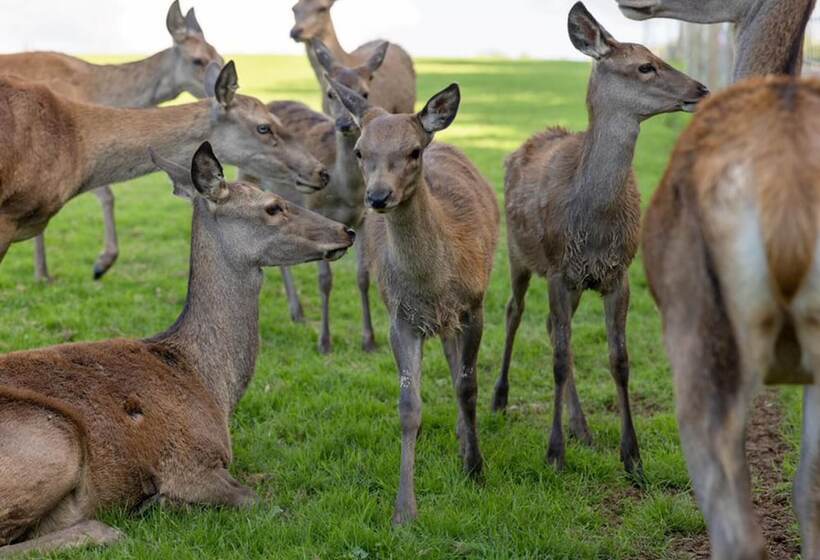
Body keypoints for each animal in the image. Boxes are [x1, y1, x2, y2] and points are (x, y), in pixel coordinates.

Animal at [0, 142, 355, 557]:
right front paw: (162, 501)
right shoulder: (189, 463)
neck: (209, 382)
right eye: (272, 206)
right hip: (53, 439)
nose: (346, 231)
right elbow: (258, 500)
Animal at [242, 39, 388, 353]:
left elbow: (363, 276)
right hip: (248, 179)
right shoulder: (318, 212)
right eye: (331, 93)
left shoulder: (363, 218)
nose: (345, 123)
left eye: (364, 93)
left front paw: (369, 340)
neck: (345, 192)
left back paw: (297, 313)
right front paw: (324, 341)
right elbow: (324, 279)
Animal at [328, 77, 500, 525]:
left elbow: (468, 386)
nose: (378, 197)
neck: (432, 284)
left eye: (413, 151)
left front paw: (476, 468)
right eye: (360, 151)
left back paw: (464, 438)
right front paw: (404, 510)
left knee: (458, 369)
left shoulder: (474, 306)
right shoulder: (401, 318)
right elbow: (409, 407)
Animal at [489, 2, 708, 479]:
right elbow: (556, 360)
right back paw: (499, 399)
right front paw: (554, 453)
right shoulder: (557, 268)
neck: (594, 224)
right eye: (645, 66)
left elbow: (619, 361)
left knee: (552, 327)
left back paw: (582, 427)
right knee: (515, 312)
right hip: (518, 252)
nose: (701, 88)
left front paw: (633, 457)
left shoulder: (617, 274)